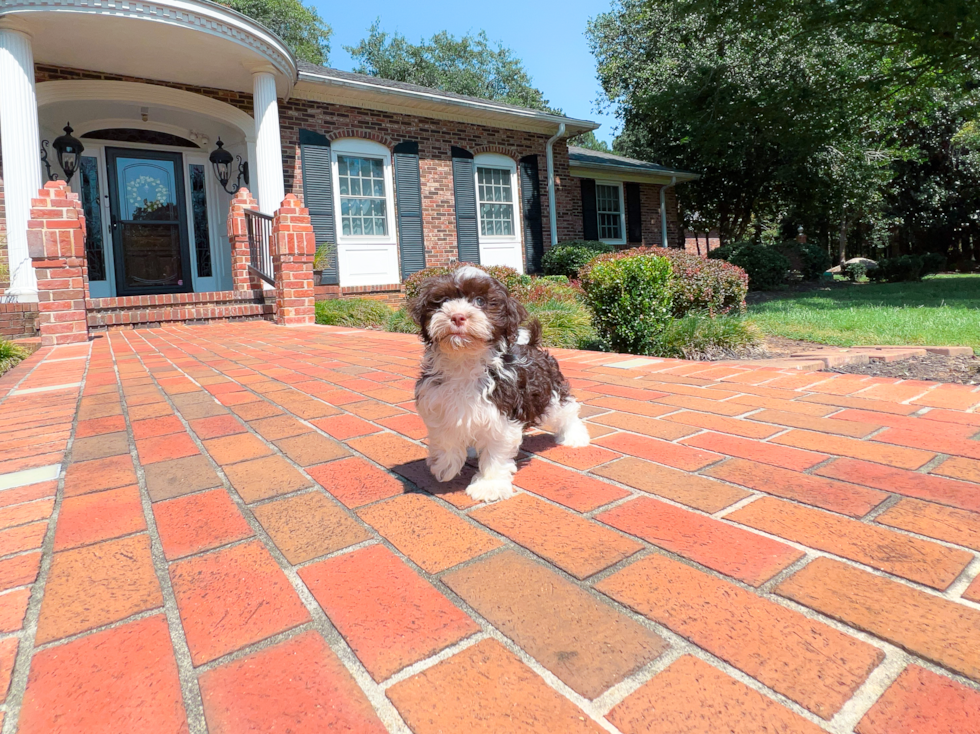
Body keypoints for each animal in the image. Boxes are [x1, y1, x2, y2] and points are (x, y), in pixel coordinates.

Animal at [408, 268, 584, 504]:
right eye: (443, 301)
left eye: (480, 301)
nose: (457, 316)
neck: (464, 362)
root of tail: (532, 346)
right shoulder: (437, 403)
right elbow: (445, 436)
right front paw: (445, 465)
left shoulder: (502, 413)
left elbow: (495, 453)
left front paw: (489, 485)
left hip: (550, 394)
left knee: (567, 410)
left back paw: (575, 436)